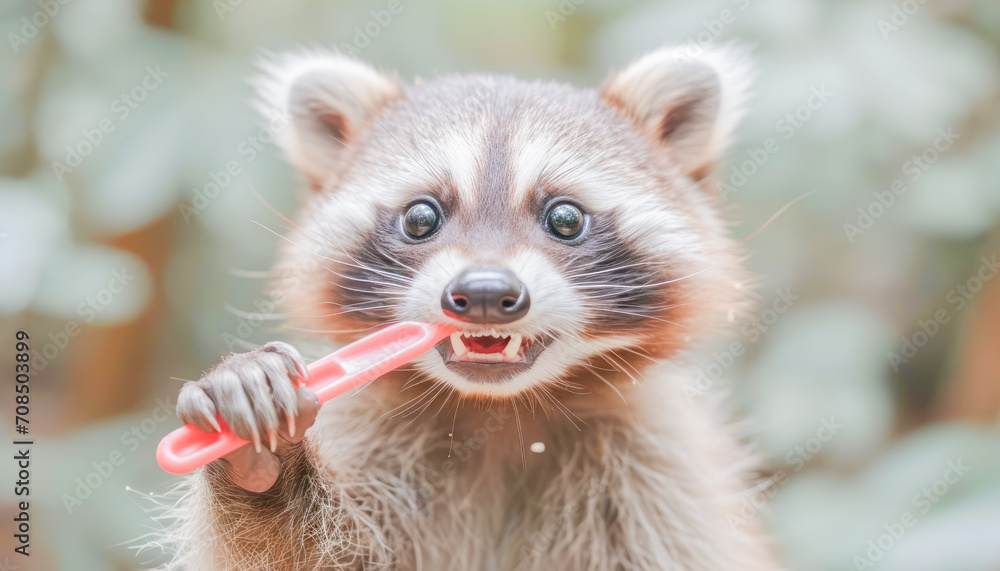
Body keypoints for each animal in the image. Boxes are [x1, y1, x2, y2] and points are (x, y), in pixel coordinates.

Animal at [160, 44, 781, 570]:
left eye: (565, 218)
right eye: (421, 217)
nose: (483, 293)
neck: (501, 413)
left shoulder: (660, 473)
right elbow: (311, 552)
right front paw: (257, 464)